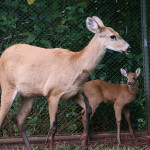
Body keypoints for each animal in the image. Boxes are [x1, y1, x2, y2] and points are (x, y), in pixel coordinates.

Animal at [0, 15, 131, 149]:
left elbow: (88, 110)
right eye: (112, 36)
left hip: (28, 95)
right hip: (7, 86)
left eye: (118, 33)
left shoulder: (73, 93)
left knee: (19, 119)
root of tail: (3, 54)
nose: (129, 48)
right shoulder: (52, 94)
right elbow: (53, 127)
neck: (75, 65)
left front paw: (83, 143)